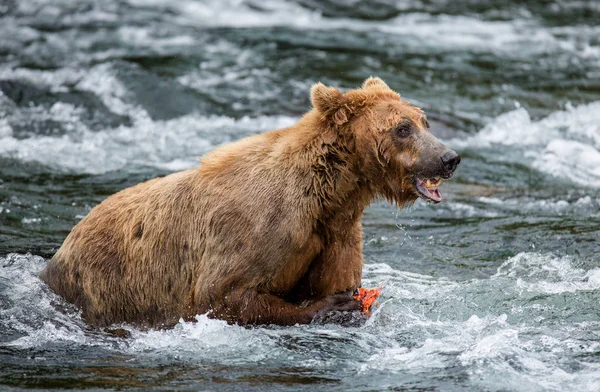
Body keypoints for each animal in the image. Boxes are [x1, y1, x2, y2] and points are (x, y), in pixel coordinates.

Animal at [38, 77, 460, 328]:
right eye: (402, 128)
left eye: (423, 121)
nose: (449, 157)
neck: (329, 194)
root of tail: (66, 242)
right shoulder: (256, 229)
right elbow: (224, 296)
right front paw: (334, 306)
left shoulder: (337, 232)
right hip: (108, 284)